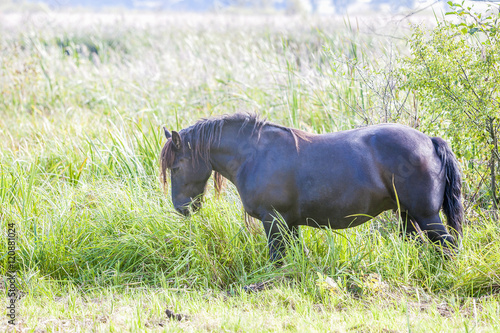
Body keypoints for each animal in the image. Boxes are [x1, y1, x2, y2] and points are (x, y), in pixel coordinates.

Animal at [160, 113, 460, 260]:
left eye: (177, 167)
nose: (181, 208)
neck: (254, 155)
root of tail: (430, 141)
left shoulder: (273, 221)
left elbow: (277, 258)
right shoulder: (289, 223)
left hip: (427, 216)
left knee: (449, 246)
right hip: (409, 216)